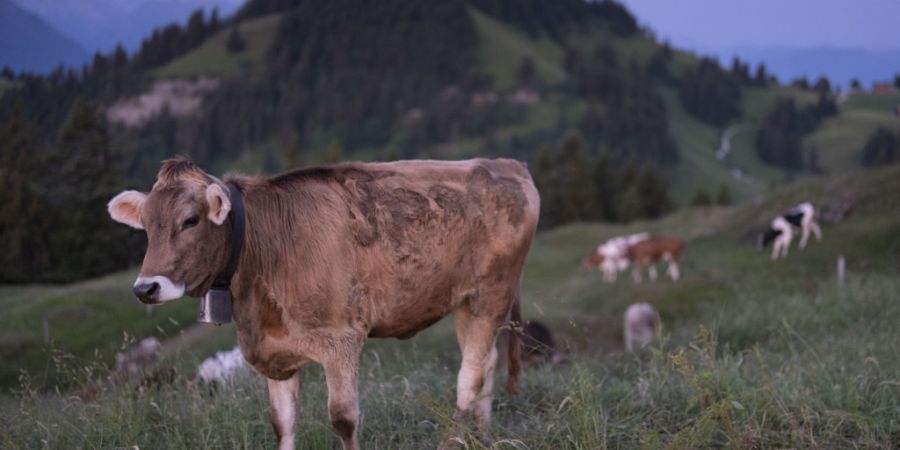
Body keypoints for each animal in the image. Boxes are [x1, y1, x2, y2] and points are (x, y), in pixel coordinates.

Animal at [107, 156, 540, 450]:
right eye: (146, 226)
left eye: (190, 221)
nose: (145, 288)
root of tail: (506, 163)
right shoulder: (274, 350)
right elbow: (282, 423)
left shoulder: (341, 341)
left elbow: (343, 420)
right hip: (468, 301)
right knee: (486, 364)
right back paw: (482, 436)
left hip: (491, 293)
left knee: (469, 378)